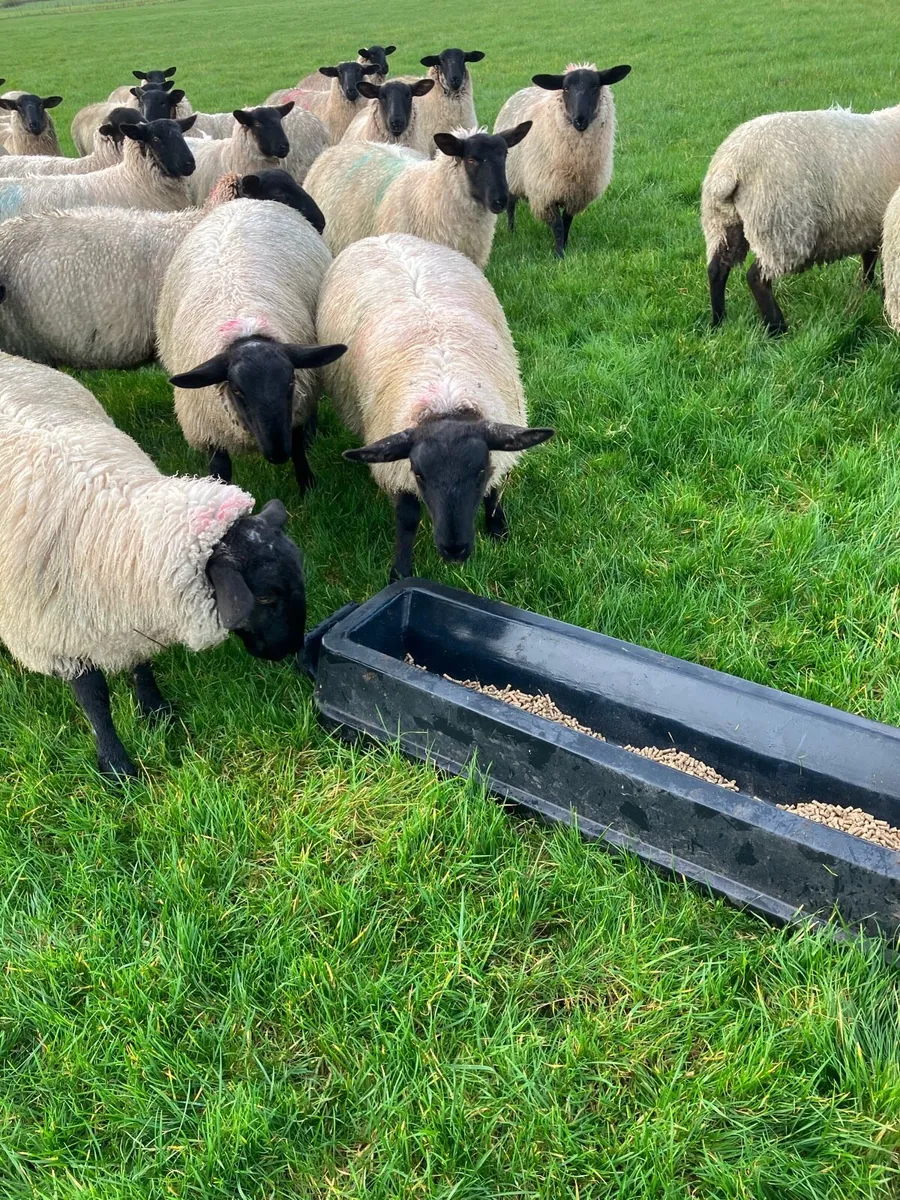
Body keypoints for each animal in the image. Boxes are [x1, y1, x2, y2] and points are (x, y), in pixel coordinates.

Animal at [0, 349, 308, 778]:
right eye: (264, 599)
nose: (290, 649)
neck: (122, 531)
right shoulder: (57, 633)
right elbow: (94, 697)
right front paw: (115, 764)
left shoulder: (132, 610)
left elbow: (140, 663)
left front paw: (155, 712)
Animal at [156, 198, 345, 490]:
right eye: (237, 390)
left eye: (290, 382)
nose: (278, 454)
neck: (245, 328)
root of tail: (245, 201)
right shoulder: (209, 428)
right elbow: (220, 468)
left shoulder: (296, 406)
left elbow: (298, 445)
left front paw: (307, 485)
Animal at [316, 233, 555, 578]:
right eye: (419, 475)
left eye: (479, 469)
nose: (454, 550)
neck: (446, 396)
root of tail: (383, 236)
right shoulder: (397, 465)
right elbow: (407, 517)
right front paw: (400, 571)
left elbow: (495, 488)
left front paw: (499, 531)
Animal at [495, 62, 631, 257]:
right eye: (566, 88)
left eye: (595, 86)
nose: (580, 120)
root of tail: (522, 90)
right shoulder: (545, 193)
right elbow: (558, 226)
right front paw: (559, 254)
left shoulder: (574, 194)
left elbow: (566, 222)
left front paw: (564, 246)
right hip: (513, 175)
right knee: (511, 205)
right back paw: (511, 231)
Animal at [702, 105, 900, 335]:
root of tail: (729, 167)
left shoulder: (872, 224)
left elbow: (869, 258)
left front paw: (868, 288)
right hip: (781, 227)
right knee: (756, 277)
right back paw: (777, 327)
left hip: (723, 223)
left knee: (717, 269)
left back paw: (718, 321)